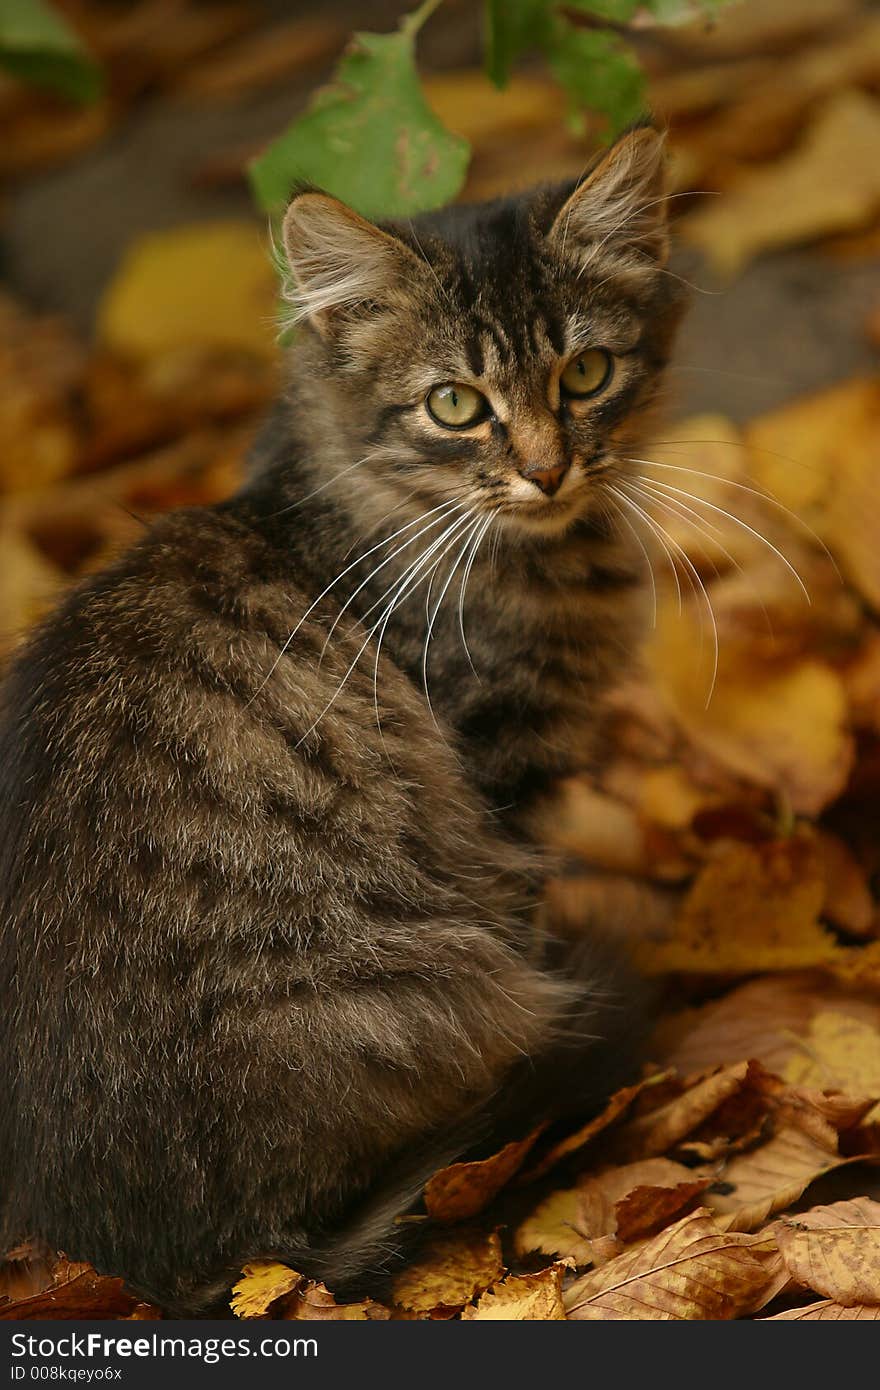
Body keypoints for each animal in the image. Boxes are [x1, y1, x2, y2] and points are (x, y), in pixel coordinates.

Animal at [0, 125, 686, 1306]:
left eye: (587, 374)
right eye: (454, 405)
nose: (547, 470)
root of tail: (183, 1264)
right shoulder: (498, 782)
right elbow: (528, 901)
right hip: (431, 971)